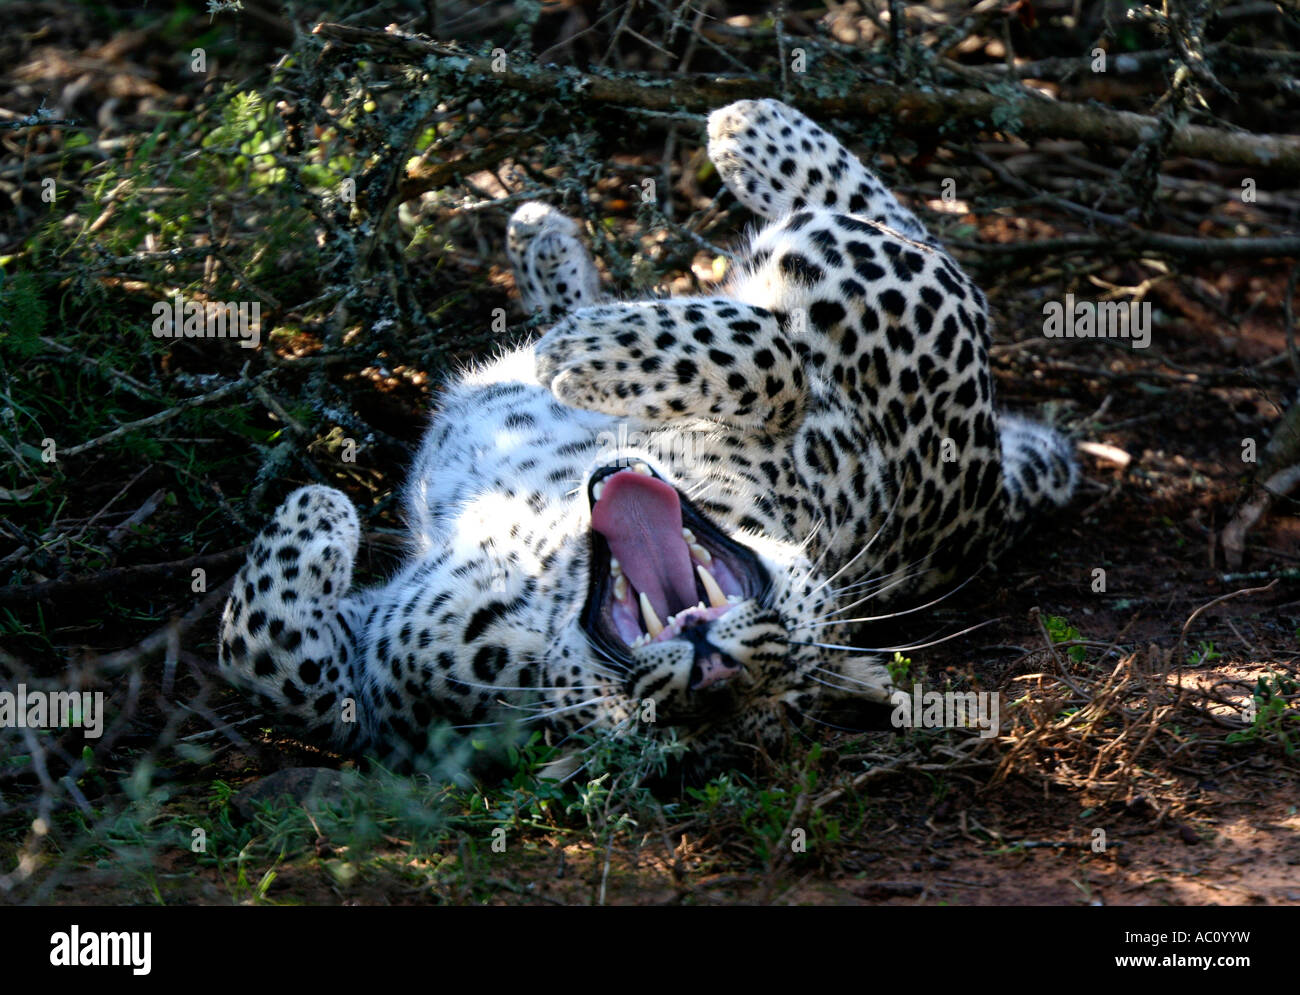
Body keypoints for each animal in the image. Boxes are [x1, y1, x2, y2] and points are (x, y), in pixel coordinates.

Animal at [216, 98, 1077, 777]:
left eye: (780, 682)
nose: (712, 670)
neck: (551, 559)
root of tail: (990, 511)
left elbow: (271, 663)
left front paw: (318, 511)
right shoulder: (388, 671)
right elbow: (275, 660)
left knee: (867, 227)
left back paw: (739, 133)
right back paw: (556, 240)